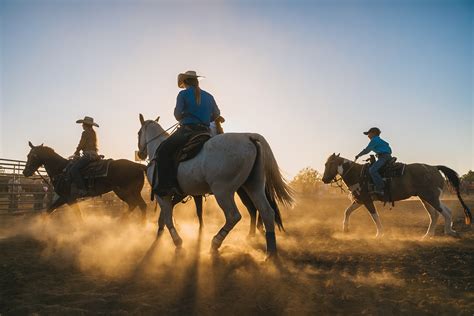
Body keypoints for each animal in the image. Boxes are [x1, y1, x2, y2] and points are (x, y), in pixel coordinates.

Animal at [137, 115, 292, 258]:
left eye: (139, 133)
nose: (140, 153)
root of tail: (248, 137)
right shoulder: (181, 194)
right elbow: (168, 215)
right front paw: (161, 232)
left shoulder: (162, 194)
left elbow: (169, 217)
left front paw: (178, 243)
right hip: (254, 187)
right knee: (266, 211)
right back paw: (270, 252)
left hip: (223, 191)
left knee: (234, 215)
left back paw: (215, 243)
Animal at [320, 154, 472, 238]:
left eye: (329, 164)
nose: (324, 179)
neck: (358, 174)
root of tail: (434, 167)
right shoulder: (361, 200)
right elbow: (347, 211)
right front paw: (345, 229)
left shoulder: (367, 200)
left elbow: (374, 216)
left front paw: (379, 234)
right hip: (426, 198)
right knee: (436, 214)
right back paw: (429, 234)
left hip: (431, 197)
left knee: (444, 212)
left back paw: (449, 231)